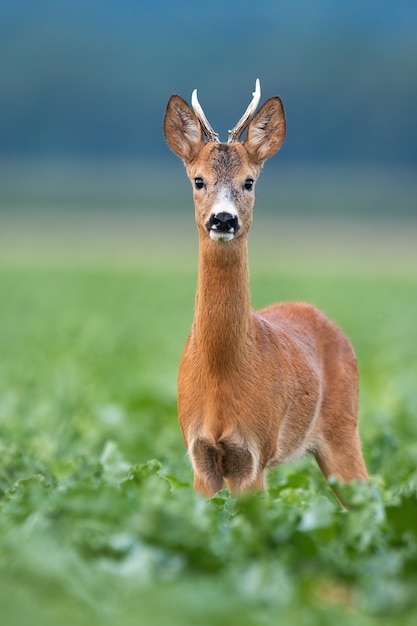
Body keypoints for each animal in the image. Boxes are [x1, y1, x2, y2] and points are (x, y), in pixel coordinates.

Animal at [163, 80, 368, 494]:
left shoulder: (254, 455)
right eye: (198, 180)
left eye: (249, 181)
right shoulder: (198, 456)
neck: (221, 370)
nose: (223, 219)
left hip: (344, 431)